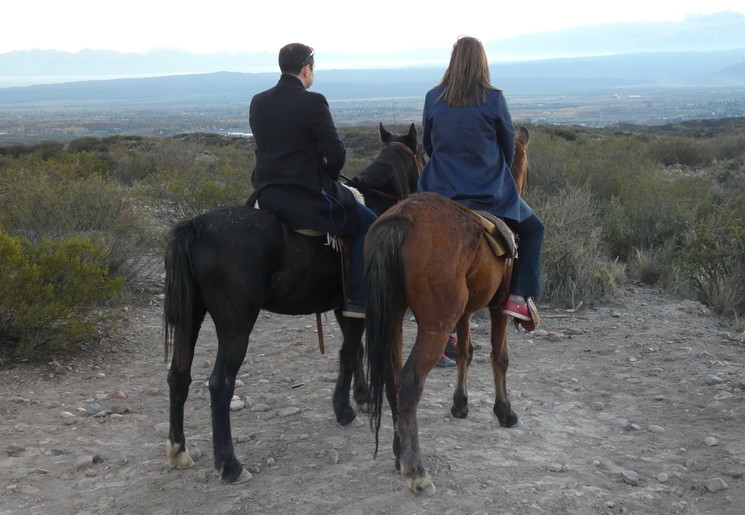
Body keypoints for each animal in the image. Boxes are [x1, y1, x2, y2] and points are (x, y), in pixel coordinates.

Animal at [163, 123, 422, 486]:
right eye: (422, 152)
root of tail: (195, 226)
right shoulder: (360, 303)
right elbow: (349, 352)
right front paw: (345, 409)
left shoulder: (345, 306)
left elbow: (354, 350)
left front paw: (361, 398)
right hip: (236, 326)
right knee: (220, 384)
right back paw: (230, 464)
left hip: (190, 317)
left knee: (178, 375)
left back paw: (178, 449)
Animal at [364, 126, 528, 496]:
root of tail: (402, 219)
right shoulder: (497, 307)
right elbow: (499, 357)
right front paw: (504, 411)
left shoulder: (464, 313)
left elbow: (466, 351)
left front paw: (460, 404)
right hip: (436, 325)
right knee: (409, 380)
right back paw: (416, 470)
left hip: (393, 319)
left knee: (391, 377)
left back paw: (399, 451)